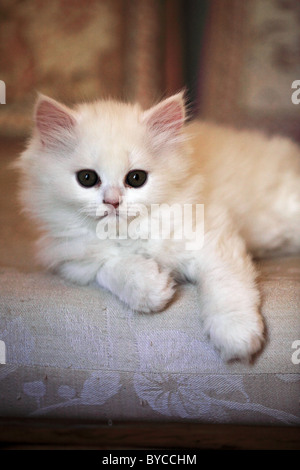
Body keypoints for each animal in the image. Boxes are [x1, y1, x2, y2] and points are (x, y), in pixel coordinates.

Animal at [16, 92, 300, 360]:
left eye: (136, 178)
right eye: (87, 178)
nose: (112, 202)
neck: (130, 232)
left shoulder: (212, 240)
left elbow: (225, 288)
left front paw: (235, 335)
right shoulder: (73, 259)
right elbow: (111, 267)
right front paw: (152, 289)